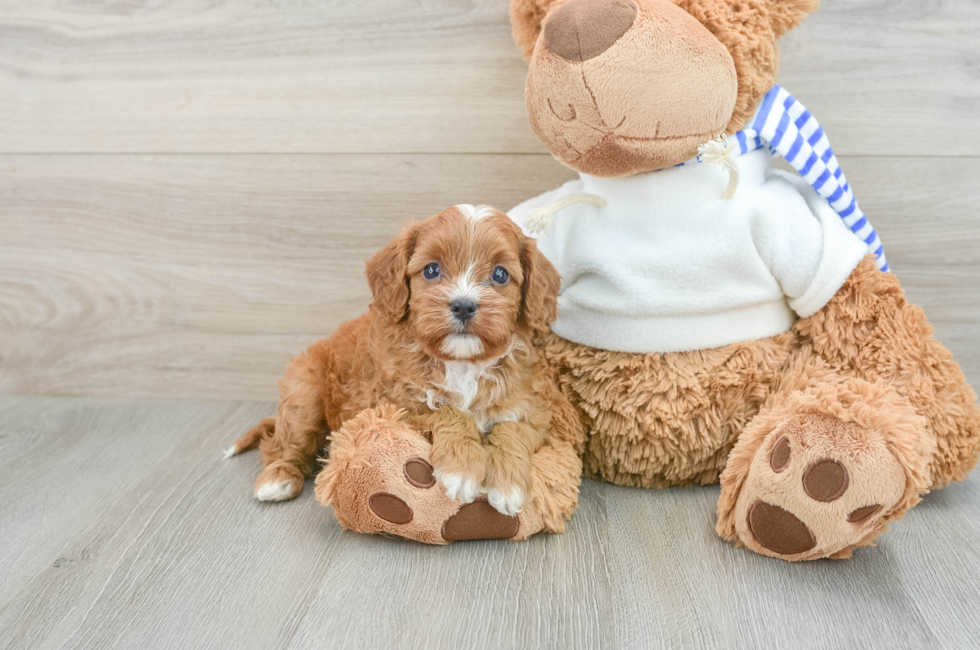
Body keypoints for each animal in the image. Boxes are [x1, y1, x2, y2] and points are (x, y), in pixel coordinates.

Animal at [230, 204, 564, 516]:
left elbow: (513, 429)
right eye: (431, 270)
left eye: (499, 274)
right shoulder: (391, 405)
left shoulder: (530, 408)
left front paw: (508, 484)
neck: (462, 363)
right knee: (284, 442)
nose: (464, 305)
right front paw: (462, 466)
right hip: (305, 391)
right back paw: (278, 479)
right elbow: (447, 411)